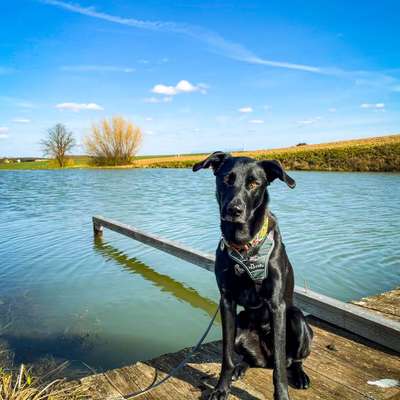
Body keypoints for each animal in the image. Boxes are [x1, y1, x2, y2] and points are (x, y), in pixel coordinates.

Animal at [193, 152, 312, 400]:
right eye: (226, 179)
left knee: (289, 360)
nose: (234, 210)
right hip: (241, 322)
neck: (244, 248)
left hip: (296, 318)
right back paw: (241, 368)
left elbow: (279, 368)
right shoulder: (227, 302)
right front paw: (221, 388)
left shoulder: (277, 305)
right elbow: (226, 356)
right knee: (252, 360)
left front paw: (282, 395)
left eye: (254, 184)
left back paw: (299, 375)